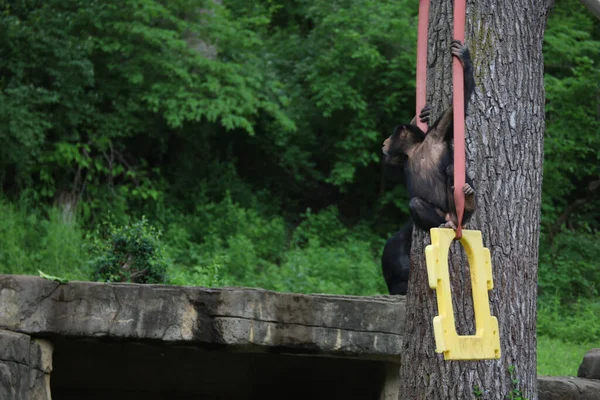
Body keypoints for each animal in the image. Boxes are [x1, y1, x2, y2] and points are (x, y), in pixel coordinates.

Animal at [384, 40, 478, 231]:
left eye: (392, 134)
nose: (386, 140)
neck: (415, 148)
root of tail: (452, 219)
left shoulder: (438, 131)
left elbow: (456, 109)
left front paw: (465, 60)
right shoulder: (399, 158)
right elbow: (389, 166)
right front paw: (421, 115)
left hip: (458, 212)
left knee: (451, 169)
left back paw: (468, 202)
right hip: (440, 216)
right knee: (416, 204)